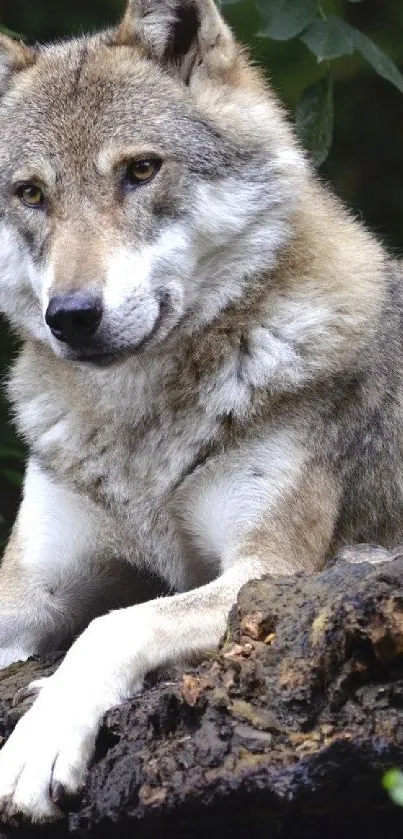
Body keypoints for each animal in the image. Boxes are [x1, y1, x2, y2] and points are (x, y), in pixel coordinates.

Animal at [0, 0, 400, 820]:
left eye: (140, 170)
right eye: (30, 194)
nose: (72, 316)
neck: (138, 430)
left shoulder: (269, 572)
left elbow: (114, 622)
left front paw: (39, 740)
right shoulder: (27, 595)